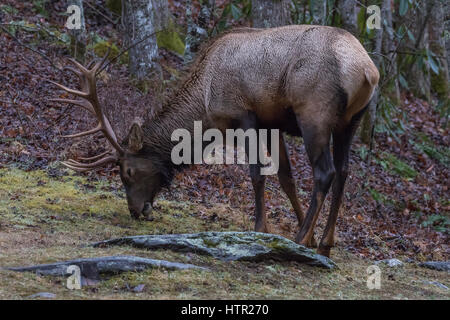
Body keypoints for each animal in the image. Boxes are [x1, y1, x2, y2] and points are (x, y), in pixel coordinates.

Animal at [50, 26, 380, 258]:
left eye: (127, 172)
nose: (136, 210)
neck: (205, 101)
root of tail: (368, 70)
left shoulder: (243, 115)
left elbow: (257, 174)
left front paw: (264, 229)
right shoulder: (272, 123)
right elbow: (286, 177)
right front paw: (305, 232)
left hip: (314, 114)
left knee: (325, 172)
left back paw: (299, 241)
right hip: (352, 120)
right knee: (344, 172)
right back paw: (323, 243)